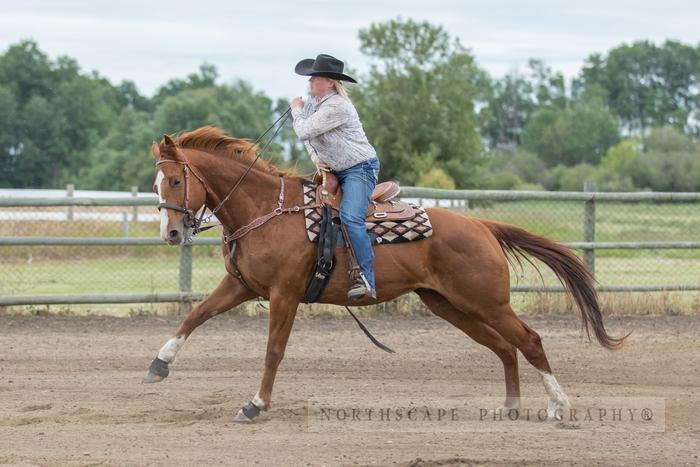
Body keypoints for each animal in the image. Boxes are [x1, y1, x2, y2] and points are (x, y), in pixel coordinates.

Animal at [145, 125, 628, 424]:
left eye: (175, 181)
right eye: (155, 183)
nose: (171, 233)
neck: (267, 211)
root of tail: (481, 225)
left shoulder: (284, 293)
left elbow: (273, 351)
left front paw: (255, 404)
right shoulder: (242, 285)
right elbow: (195, 316)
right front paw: (158, 365)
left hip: (486, 300)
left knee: (529, 340)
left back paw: (557, 406)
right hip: (449, 305)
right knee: (505, 348)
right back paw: (508, 407)